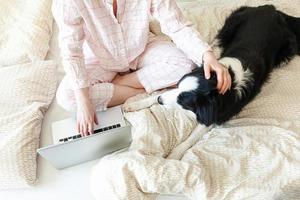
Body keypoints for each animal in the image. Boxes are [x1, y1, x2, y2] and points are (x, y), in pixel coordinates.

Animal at [123, 5, 300, 158]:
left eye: (183, 101)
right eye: (179, 87)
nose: (160, 101)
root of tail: (271, 9)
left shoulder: (212, 116)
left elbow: (190, 138)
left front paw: (174, 154)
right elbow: (157, 94)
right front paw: (134, 105)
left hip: (285, 50)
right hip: (230, 25)